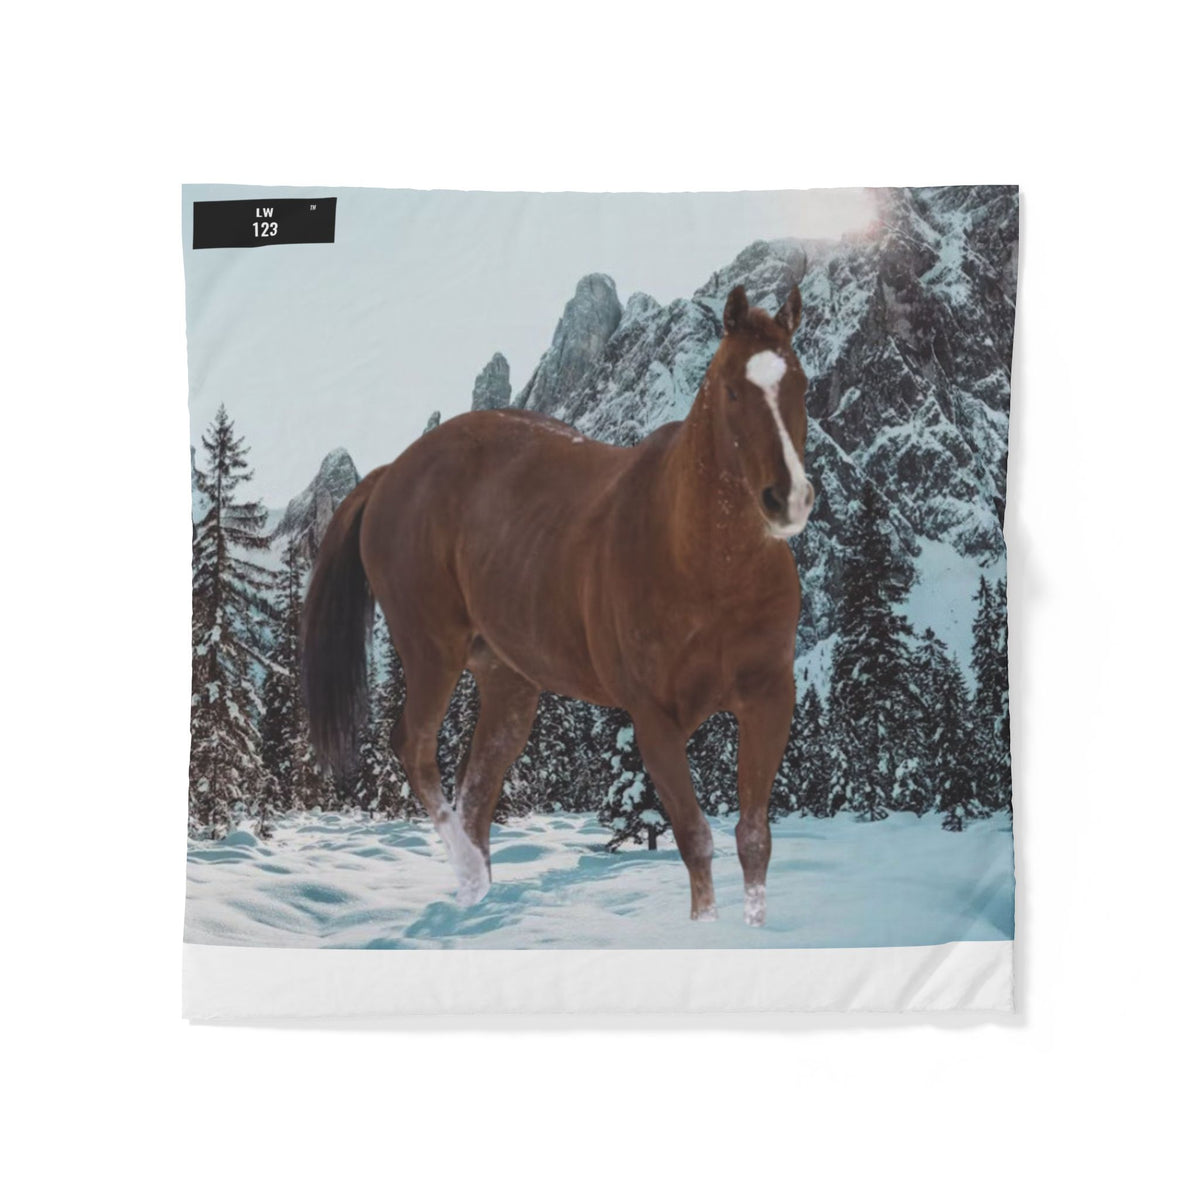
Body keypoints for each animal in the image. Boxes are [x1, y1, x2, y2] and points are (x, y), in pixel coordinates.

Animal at [302, 284, 814, 925]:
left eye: (801, 384)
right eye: (732, 390)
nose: (788, 498)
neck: (706, 571)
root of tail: (393, 469)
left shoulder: (769, 701)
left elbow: (754, 839)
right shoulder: (654, 720)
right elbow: (695, 838)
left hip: (508, 681)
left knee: (477, 789)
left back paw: (476, 900)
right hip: (431, 650)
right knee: (415, 751)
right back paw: (467, 876)